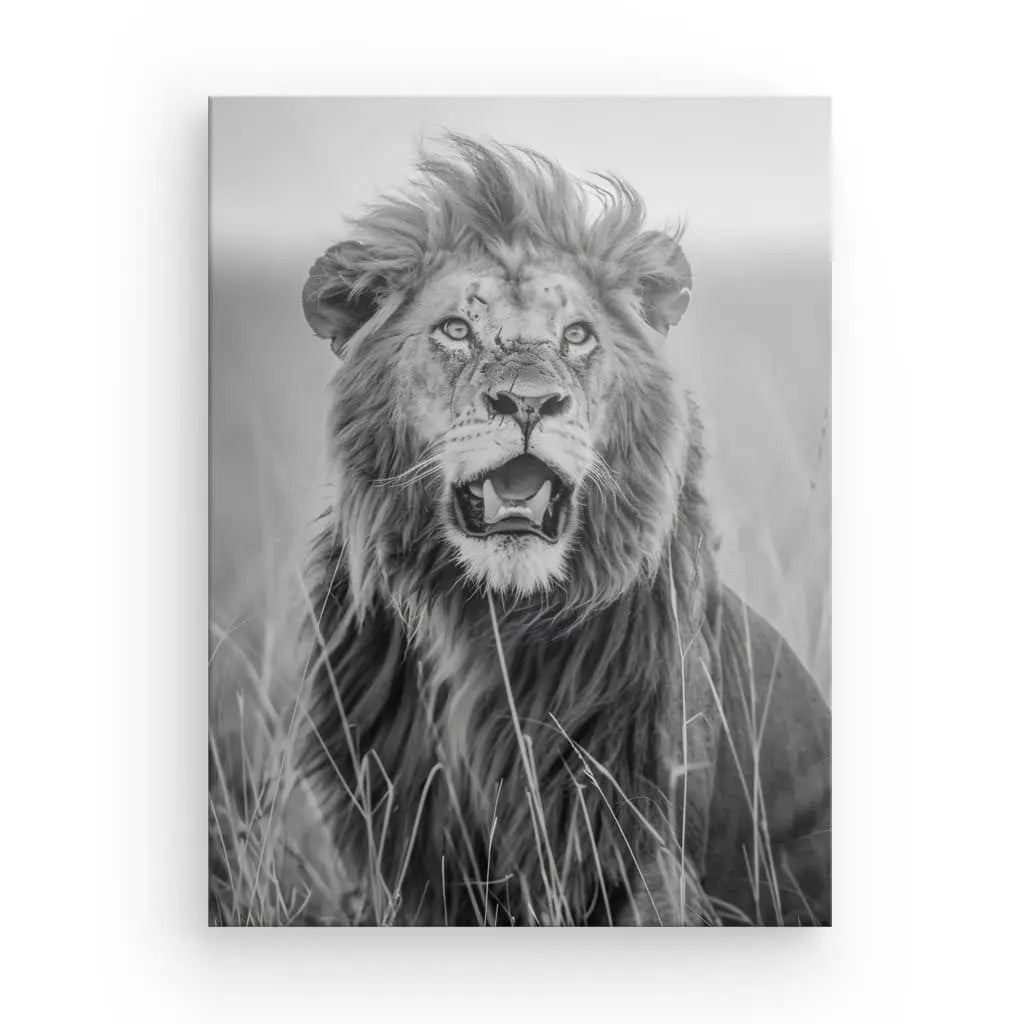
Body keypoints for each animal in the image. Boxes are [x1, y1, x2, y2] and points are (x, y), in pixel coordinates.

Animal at [298, 135, 831, 925]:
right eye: (457, 329)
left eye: (577, 335)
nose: (528, 401)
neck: (486, 616)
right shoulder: (405, 845)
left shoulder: (634, 831)